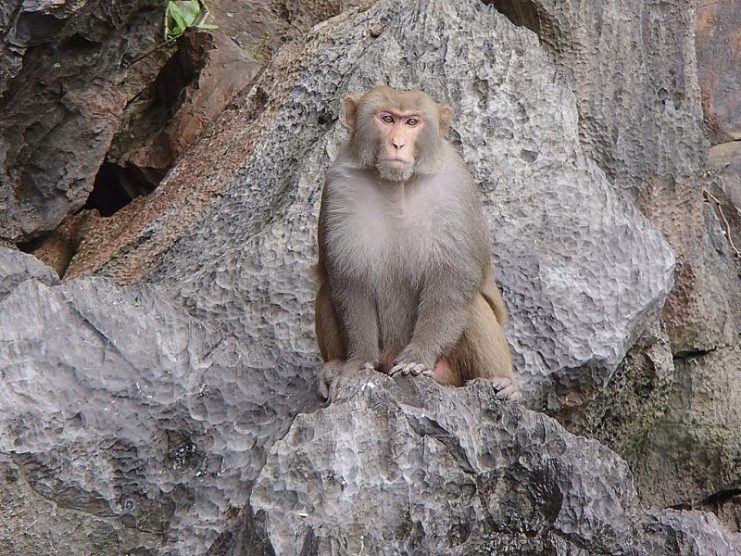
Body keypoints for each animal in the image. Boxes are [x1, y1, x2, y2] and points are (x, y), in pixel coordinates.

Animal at [312, 84, 520, 402]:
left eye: (412, 122)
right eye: (387, 119)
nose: (397, 144)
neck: (398, 185)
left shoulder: (455, 188)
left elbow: (452, 279)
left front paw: (418, 357)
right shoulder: (339, 186)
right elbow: (350, 281)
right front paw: (357, 362)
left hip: (451, 371)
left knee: (470, 303)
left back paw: (503, 384)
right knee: (327, 289)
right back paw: (333, 366)